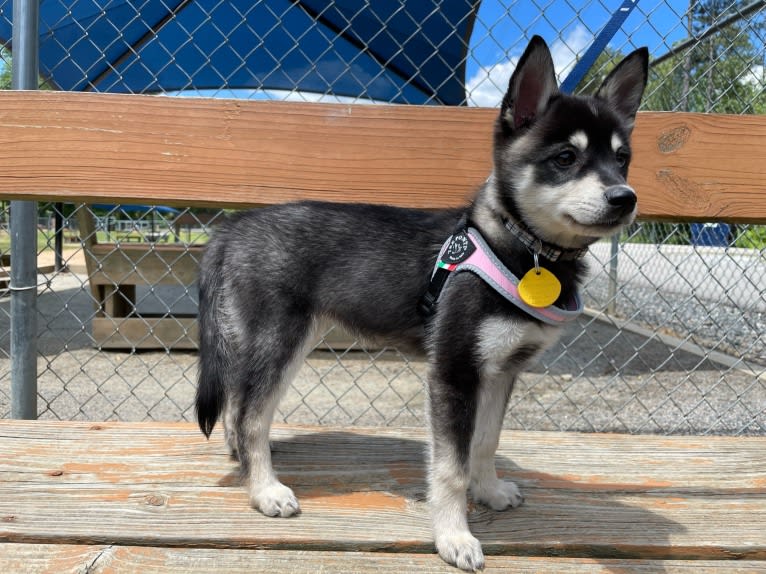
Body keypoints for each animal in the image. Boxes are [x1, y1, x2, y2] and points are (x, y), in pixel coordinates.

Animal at [194, 36, 648, 572]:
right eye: (564, 158)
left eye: (622, 159)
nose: (625, 197)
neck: (522, 249)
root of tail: (231, 229)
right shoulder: (454, 371)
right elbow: (451, 465)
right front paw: (453, 536)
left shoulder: (501, 370)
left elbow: (486, 442)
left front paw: (489, 491)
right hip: (277, 340)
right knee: (250, 415)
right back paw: (265, 490)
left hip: (280, 341)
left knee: (239, 406)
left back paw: (243, 462)